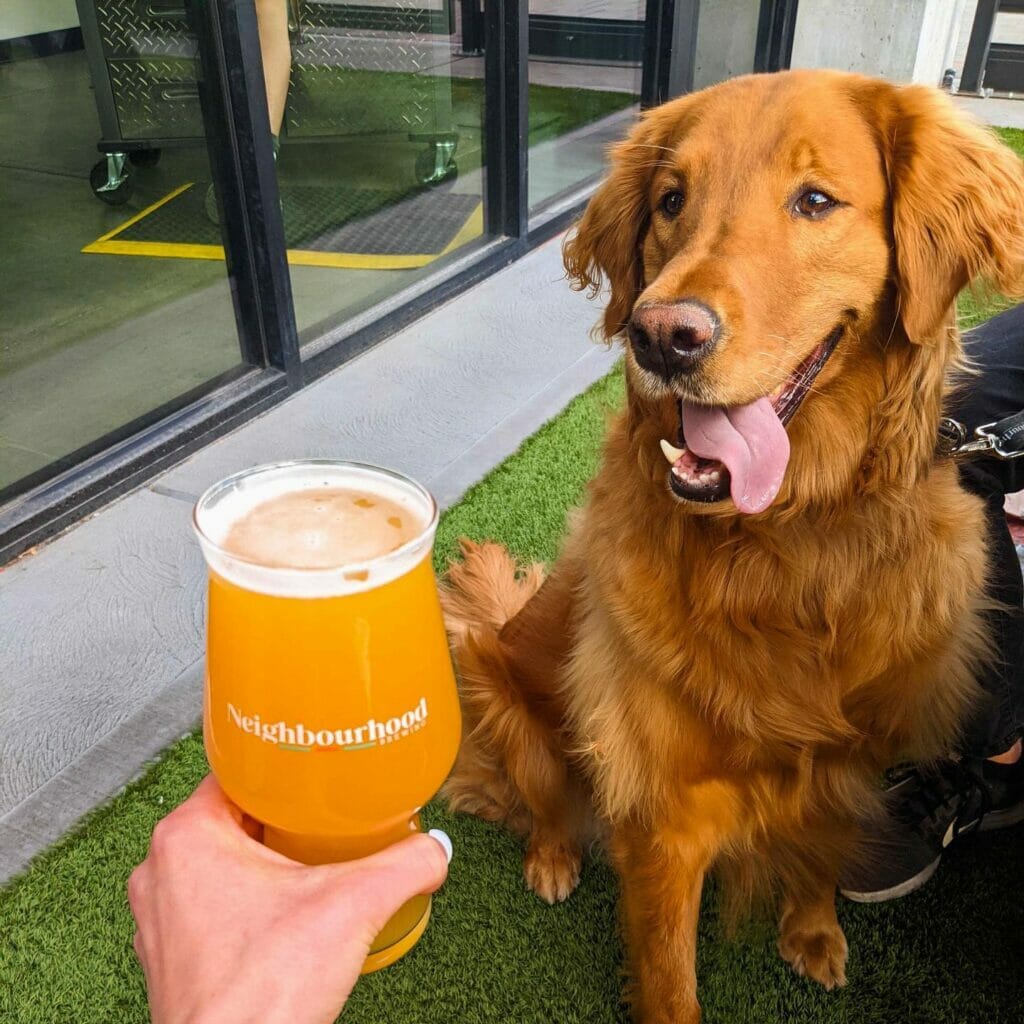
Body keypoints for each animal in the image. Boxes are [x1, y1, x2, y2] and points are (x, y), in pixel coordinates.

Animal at [444, 68, 1024, 1019]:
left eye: (816, 200)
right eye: (671, 201)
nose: (660, 336)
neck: (786, 542)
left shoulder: (846, 757)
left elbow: (819, 852)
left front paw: (813, 933)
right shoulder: (663, 810)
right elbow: (670, 979)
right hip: (506, 696)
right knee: (543, 802)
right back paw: (553, 859)